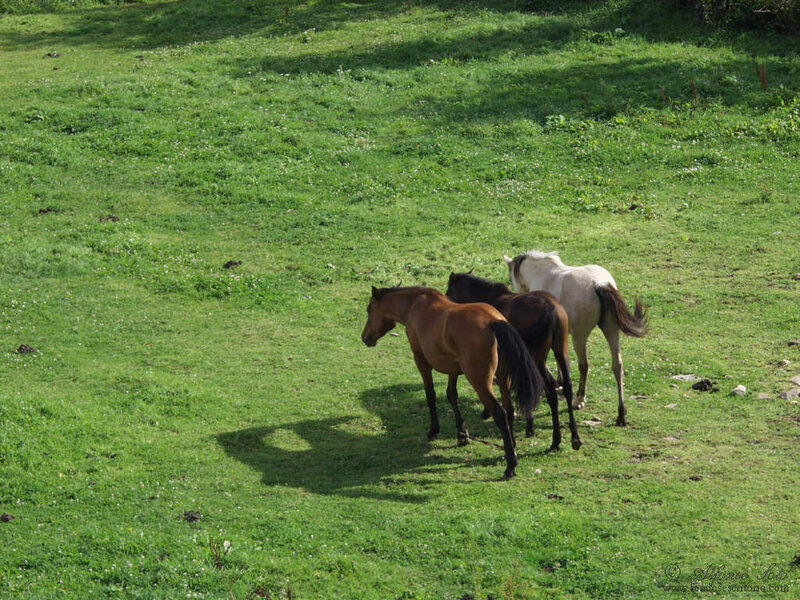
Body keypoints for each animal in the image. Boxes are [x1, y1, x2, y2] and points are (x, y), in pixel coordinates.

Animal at [361, 285, 540, 480]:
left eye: (369, 309)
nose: (365, 337)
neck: (415, 305)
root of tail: (493, 321)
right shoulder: (453, 369)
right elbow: (451, 395)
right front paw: (462, 434)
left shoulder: (421, 361)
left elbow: (430, 395)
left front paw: (434, 430)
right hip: (502, 378)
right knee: (509, 408)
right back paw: (511, 447)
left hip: (481, 382)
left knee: (499, 413)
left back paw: (510, 465)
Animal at [445, 271, 581, 451]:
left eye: (448, 293)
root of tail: (550, 308)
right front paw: (530, 426)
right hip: (561, 351)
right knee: (567, 387)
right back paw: (575, 438)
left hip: (538, 359)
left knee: (551, 393)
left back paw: (556, 440)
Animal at [503, 250, 649, 426]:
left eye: (511, 277)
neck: (543, 273)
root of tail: (600, 284)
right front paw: (559, 382)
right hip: (611, 330)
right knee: (617, 366)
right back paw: (621, 414)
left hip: (580, 337)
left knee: (584, 365)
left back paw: (579, 399)